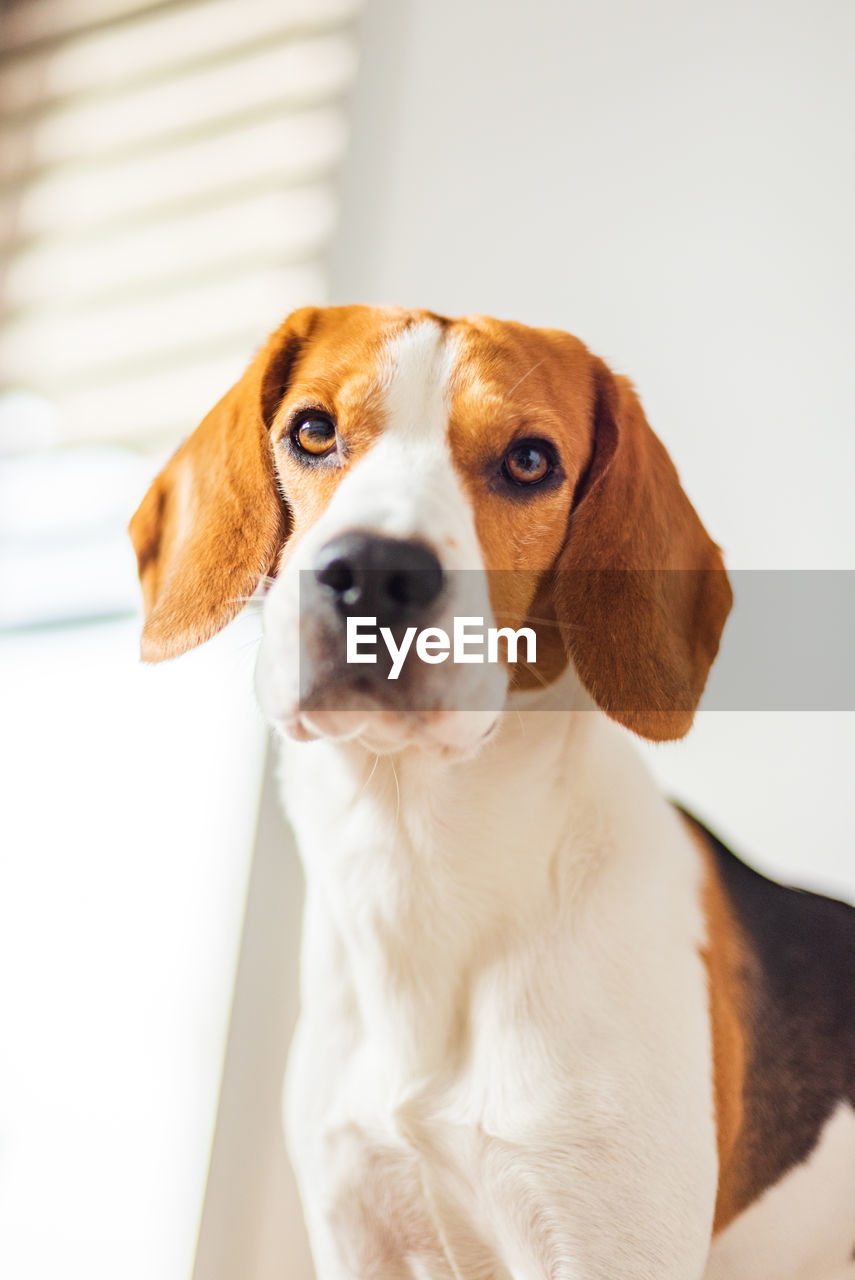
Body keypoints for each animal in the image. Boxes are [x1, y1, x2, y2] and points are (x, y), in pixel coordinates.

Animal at [128, 307, 855, 1280]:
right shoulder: (353, 1228)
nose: (374, 572)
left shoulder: (604, 1242)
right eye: (312, 430)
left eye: (530, 461)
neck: (419, 869)